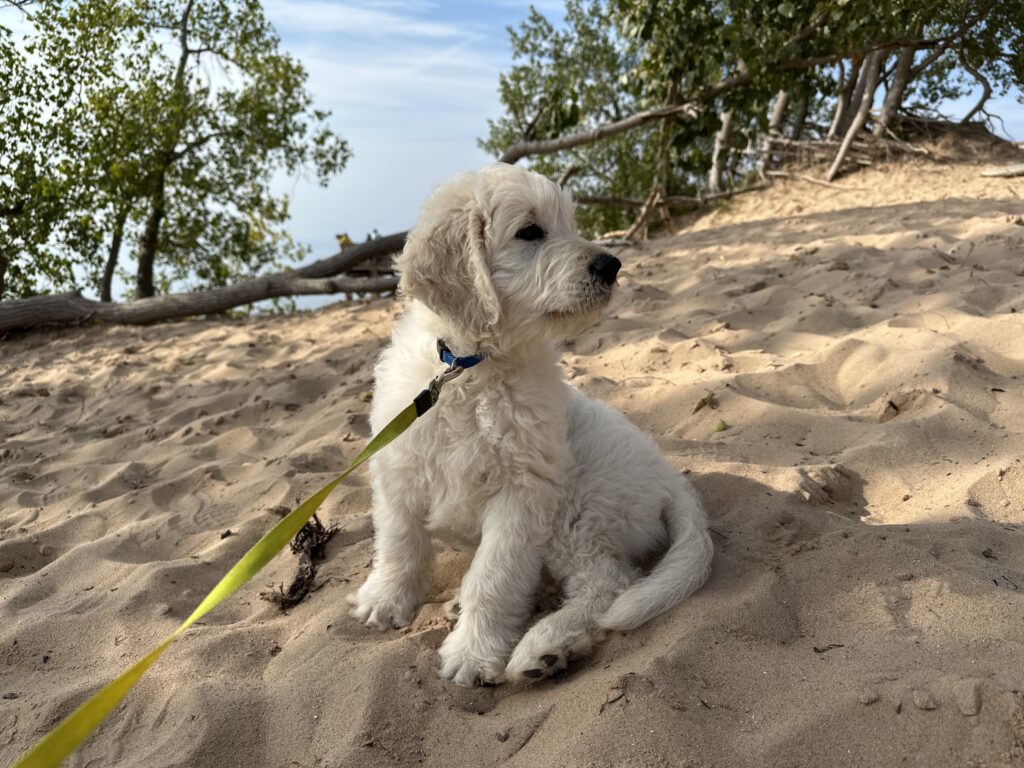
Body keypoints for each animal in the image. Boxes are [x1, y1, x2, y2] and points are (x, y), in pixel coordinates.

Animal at [348, 164, 712, 686]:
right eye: (530, 232)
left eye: (569, 223)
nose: (611, 265)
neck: (471, 370)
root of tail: (669, 478)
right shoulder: (400, 466)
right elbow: (400, 541)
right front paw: (386, 600)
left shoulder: (522, 493)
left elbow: (494, 575)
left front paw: (473, 653)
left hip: (577, 513)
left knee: (609, 583)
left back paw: (545, 646)